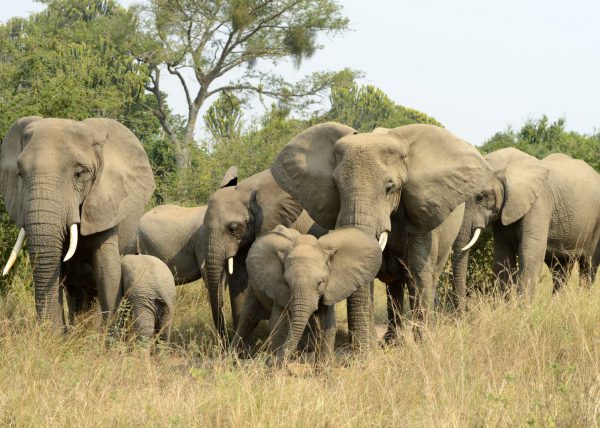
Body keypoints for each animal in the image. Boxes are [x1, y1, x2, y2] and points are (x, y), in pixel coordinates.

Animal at [1, 116, 155, 328]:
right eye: (21, 174)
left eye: (79, 173)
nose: (50, 332)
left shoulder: (106, 203)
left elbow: (107, 271)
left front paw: (107, 335)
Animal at [232, 224, 382, 364]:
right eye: (287, 283)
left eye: (320, 283)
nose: (272, 361)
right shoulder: (279, 289)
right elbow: (279, 323)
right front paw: (274, 367)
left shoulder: (330, 288)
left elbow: (328, 324)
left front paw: (322, 369)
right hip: (254, 284)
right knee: (248, 318)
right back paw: (231, 359)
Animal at [270, 122, 490, 350]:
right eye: (336, 187)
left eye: (389, 188)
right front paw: (367, 350)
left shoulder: (419, 216)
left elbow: (418, 274)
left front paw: (423, 346)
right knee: (395, 285)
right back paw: (391, 342)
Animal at [452, 147, 596, 308]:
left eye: (481, 197)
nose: (464, 309)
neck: (508, 166)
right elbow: (503, 258)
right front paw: (505, 308)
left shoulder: (538, 204)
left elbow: (530, 255)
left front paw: (523, 310)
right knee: (560, 269)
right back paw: (556, 305)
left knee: (588, 266)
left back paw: (584, 300)